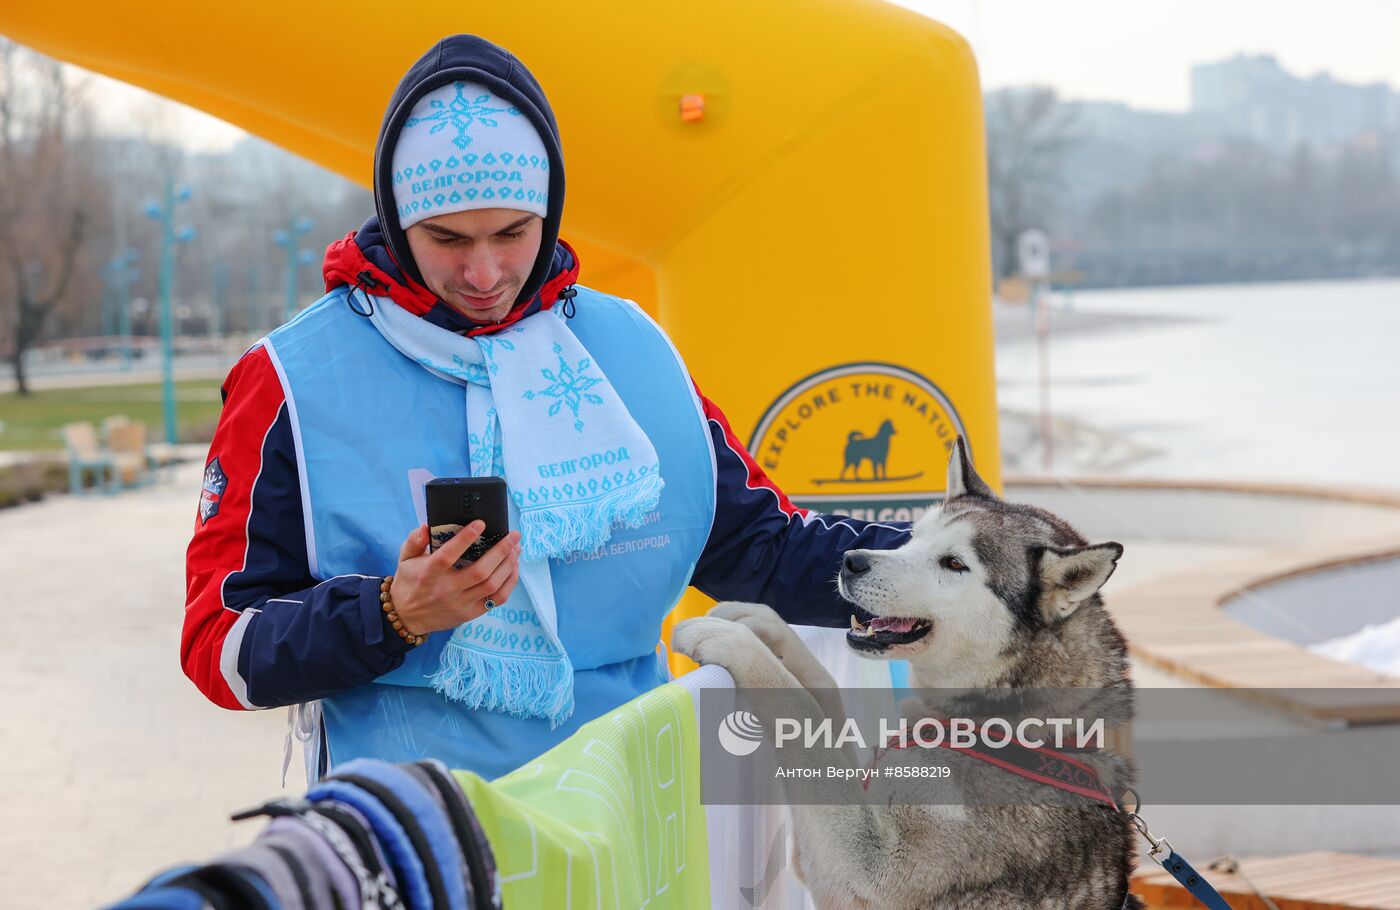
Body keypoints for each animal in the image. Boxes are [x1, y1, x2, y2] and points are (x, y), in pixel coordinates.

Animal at [672, 436, 1142, 901]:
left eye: (954, 564)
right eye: (914, 537)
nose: (850, 560)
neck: (1010, 729)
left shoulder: (867, 871)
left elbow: (800, 713)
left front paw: (733, 642)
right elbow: (821, 694)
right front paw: (761, 624)